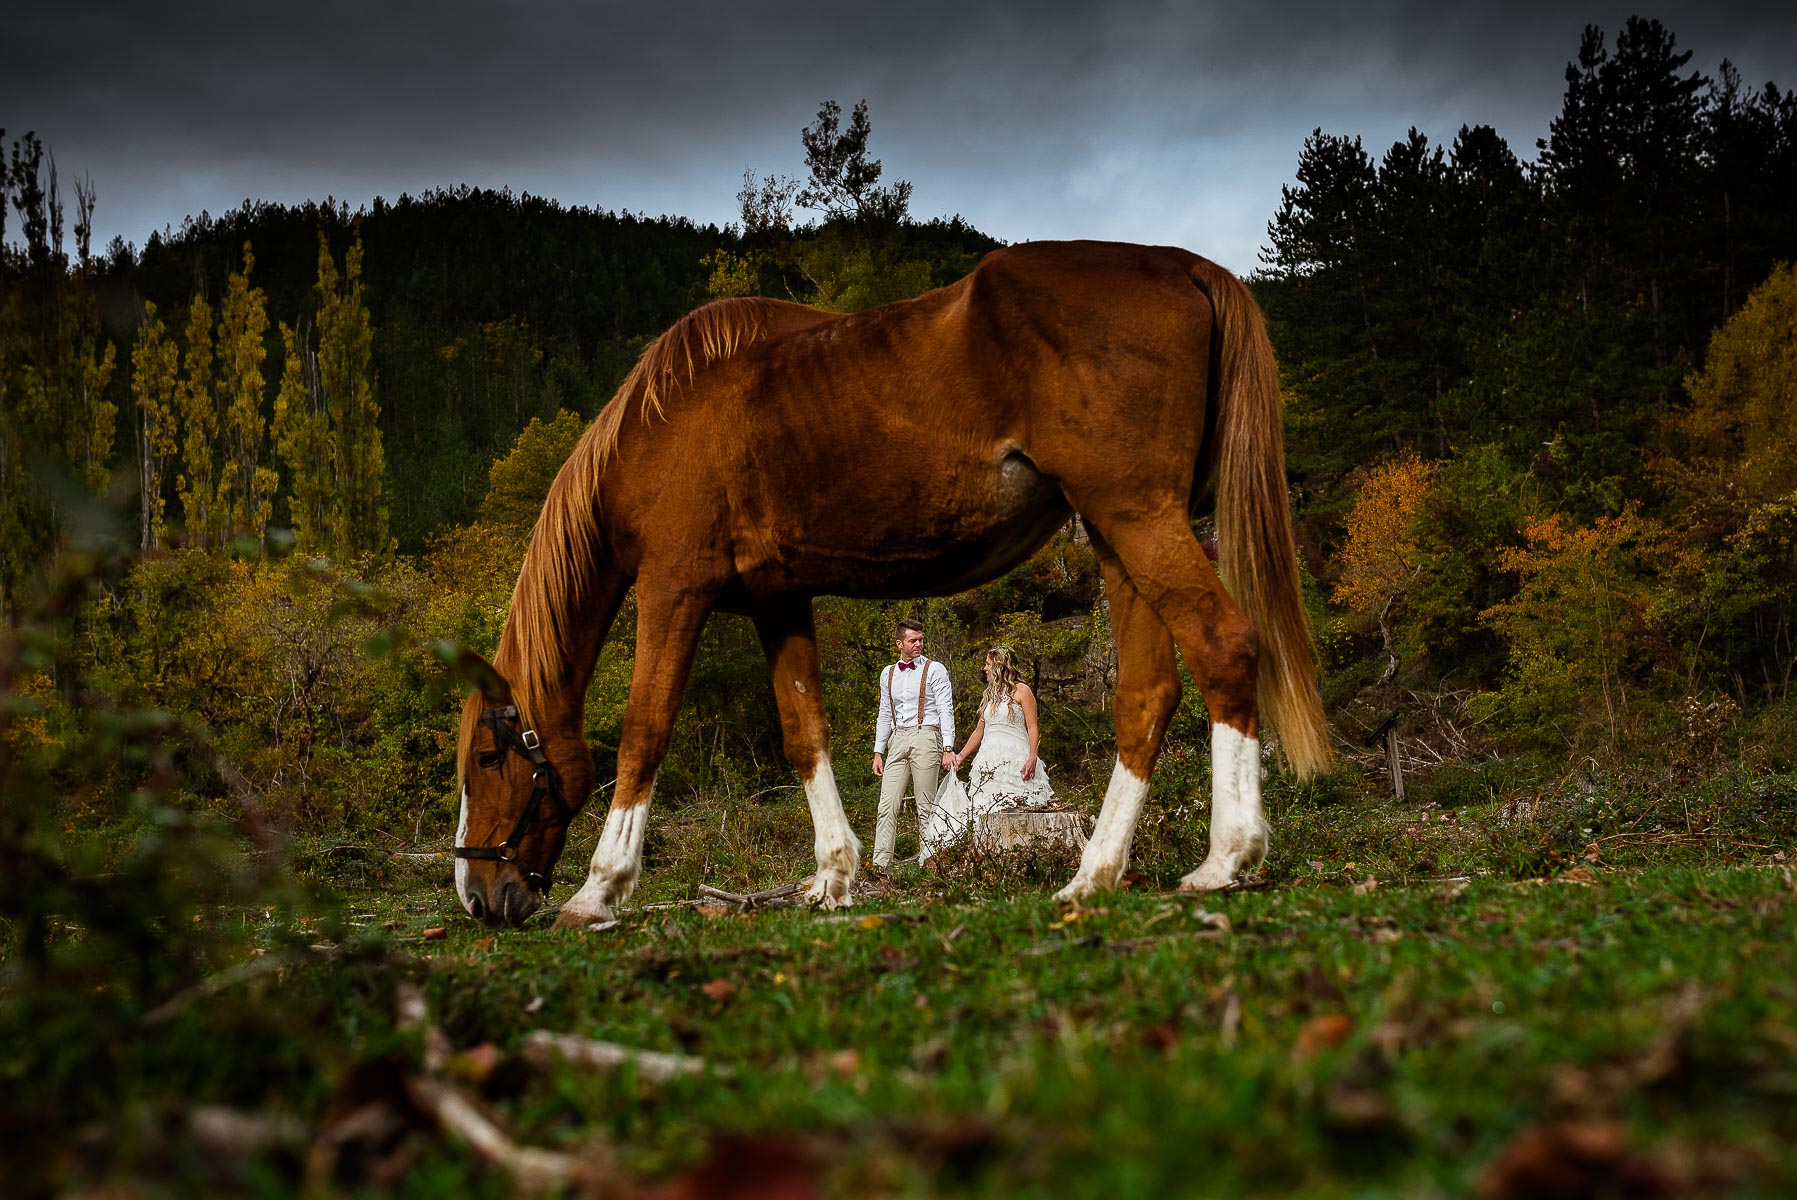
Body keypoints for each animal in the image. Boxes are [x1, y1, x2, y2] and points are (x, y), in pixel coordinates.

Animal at [460, 237, 1336, 926]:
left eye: (486, 759)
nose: (476, 897)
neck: (659, 425)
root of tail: (1181, 264)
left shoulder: (672, 588)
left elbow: (644, 732)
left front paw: (600, 890)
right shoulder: (778, 601)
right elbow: (804, 734)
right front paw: (834, 875)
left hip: (1137, 518)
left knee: (1224, 646)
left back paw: (1226, 858)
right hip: (1119, 538)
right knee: (1147, 695)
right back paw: (1093, 875)